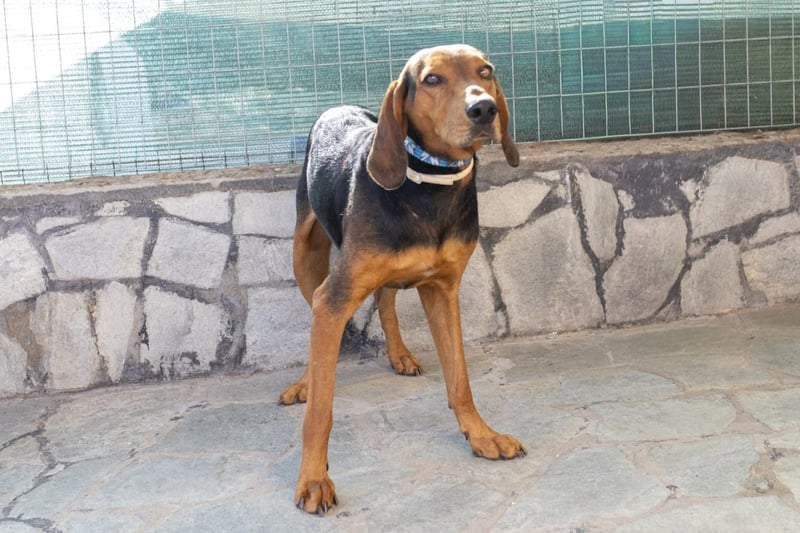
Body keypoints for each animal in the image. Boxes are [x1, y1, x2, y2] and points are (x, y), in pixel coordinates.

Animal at [278, 44, 525, 515]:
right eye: (432, 80)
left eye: (485, 72)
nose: (483, 108)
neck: (431, 184)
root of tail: (338, 105)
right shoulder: (333, 299)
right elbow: (320, 411)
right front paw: (314, 478)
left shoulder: (442, 291)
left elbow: (460, 382)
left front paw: (481, 435)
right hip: (305, 255)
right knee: (316, 317)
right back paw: (303, 383)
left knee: (385, 299)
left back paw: (400, 355)